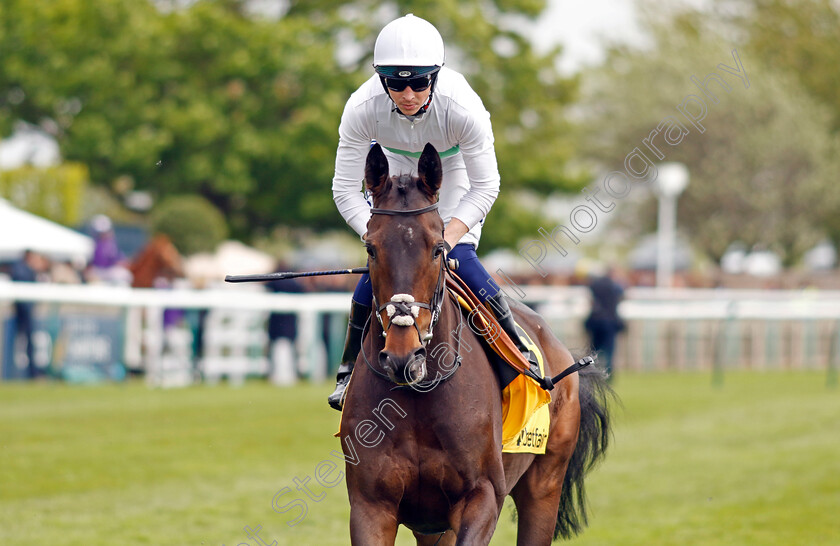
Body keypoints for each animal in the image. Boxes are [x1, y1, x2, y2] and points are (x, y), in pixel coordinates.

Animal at [338, 142, 612, 540]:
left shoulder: (481, 496)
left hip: (544, 485)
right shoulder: (371, 505)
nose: (404, 356)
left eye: (438, 247)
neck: (418, 399)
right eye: (371, 248)